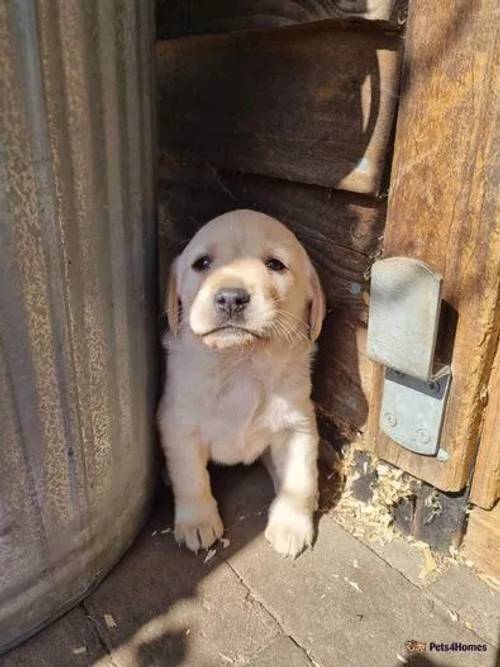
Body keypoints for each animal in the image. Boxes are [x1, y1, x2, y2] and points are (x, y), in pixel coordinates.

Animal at [158, 209, 326, 560]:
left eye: (275, 264)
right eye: (202, 263)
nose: (231, 298)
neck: (240, 363)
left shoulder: (299, 423)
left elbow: (301, 477)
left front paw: (291, 524)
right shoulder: (178, 424)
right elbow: (191, 477)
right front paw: (197, 520)